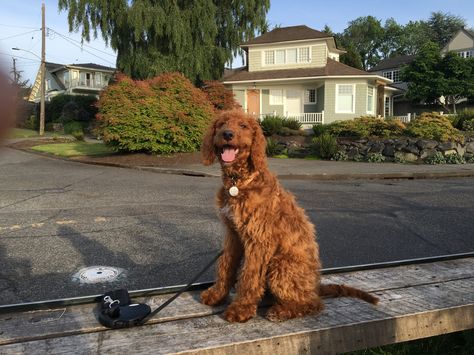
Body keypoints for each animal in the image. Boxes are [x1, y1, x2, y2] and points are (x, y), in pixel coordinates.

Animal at [200, 110, 378, 324]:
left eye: (243, 126)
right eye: (221, 124)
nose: (227, 134)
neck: (239, 183)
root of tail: (315, 287)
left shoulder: (259, 240)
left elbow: (250, 276)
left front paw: (241, 308)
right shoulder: (233, 234)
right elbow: (225, 266)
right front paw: (217, 295)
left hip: (280, 265)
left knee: (313, 304)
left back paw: (281, 311)